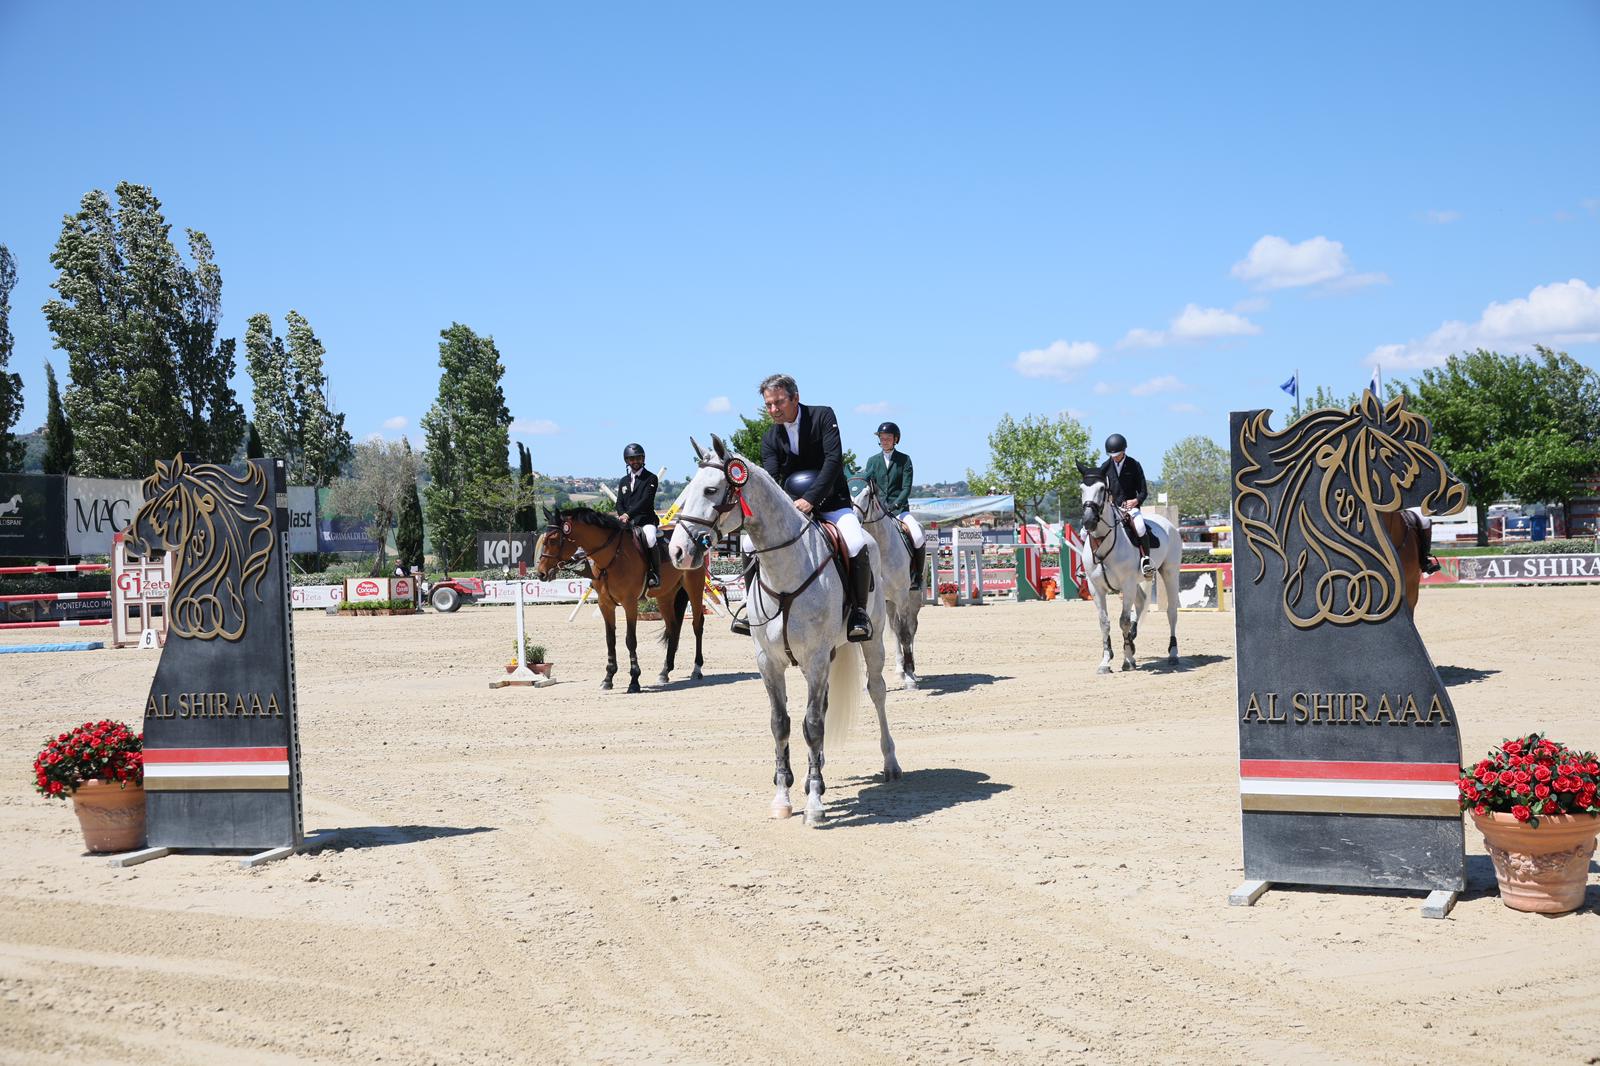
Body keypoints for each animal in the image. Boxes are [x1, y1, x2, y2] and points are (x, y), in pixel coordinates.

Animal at [534, 508, 709, 692]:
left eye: (553, 540)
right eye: (544, 540)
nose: (541, 573)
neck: (612, 557)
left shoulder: (629, 603)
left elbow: (630, 640)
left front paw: (634, 681)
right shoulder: (605, 604)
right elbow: (610, 640)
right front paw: (608, 678)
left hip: (694, 587)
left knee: (697, 625)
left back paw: (696, 669)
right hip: (665, 596)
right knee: (673, 627)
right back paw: (664, 671)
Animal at [668, 435, 899, 826]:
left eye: (711, 490)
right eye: (687, 492)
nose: (677, 552)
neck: (785, 571)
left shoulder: (816, 658)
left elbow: (812, 725)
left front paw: (815, 804)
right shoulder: (769, 662)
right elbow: (782, 723)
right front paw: (784, 796)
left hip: (873, 642)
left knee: (877, 692)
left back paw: (890, 763)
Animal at [850, 476, 922, 690]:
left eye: (866, 494)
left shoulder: (902, 597)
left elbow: (905, 633)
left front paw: (909, 677)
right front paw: (868, 679)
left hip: (913, 597)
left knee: (909, 627)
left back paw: (911, 670)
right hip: (888, 603)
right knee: (895, 627)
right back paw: (900, 668)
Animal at [1078, 478, 1182, 673]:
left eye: (1102, 488)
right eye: (1081, 489)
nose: (1088, 521)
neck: (1103, 543)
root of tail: (1167, 523)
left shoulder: (1126, 584)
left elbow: (1123, 621)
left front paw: (1128, 661)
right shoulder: (1096, 588)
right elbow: (1104, 622)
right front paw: (1105, 662)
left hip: (1169, 572)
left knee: (1171, 612)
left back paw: (1173, 653)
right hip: (1137, 583)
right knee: (1141, 602)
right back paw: (1133, 639)